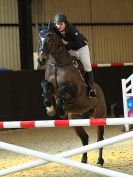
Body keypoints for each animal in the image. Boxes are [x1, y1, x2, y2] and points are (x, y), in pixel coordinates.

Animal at [37, 22, 106, 166]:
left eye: (49, 38)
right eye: (38, 39)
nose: (41, 60)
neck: (58, 64)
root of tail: (100, 90)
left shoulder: (75, 89)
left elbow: (62, 89)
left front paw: (59, 108)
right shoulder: (50, 86)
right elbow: (44, 84)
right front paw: (50, 107)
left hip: (99, 116)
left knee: (100, 138)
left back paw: (99, 161)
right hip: (75, 119)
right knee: (85, 138)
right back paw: (83, 160)